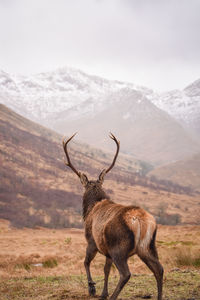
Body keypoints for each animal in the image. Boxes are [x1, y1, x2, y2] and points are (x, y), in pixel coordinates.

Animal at [62, 134, 162, 300]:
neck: (90, 209)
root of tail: (139, 220)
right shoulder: (106, 250)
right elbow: (106, 269)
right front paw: (103, 292)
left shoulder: (92, 241)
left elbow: (86, 262)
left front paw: (92, 288)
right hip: (148, 247)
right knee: (159, 269)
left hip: (119, 248)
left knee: (126, 274)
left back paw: (113, 296)